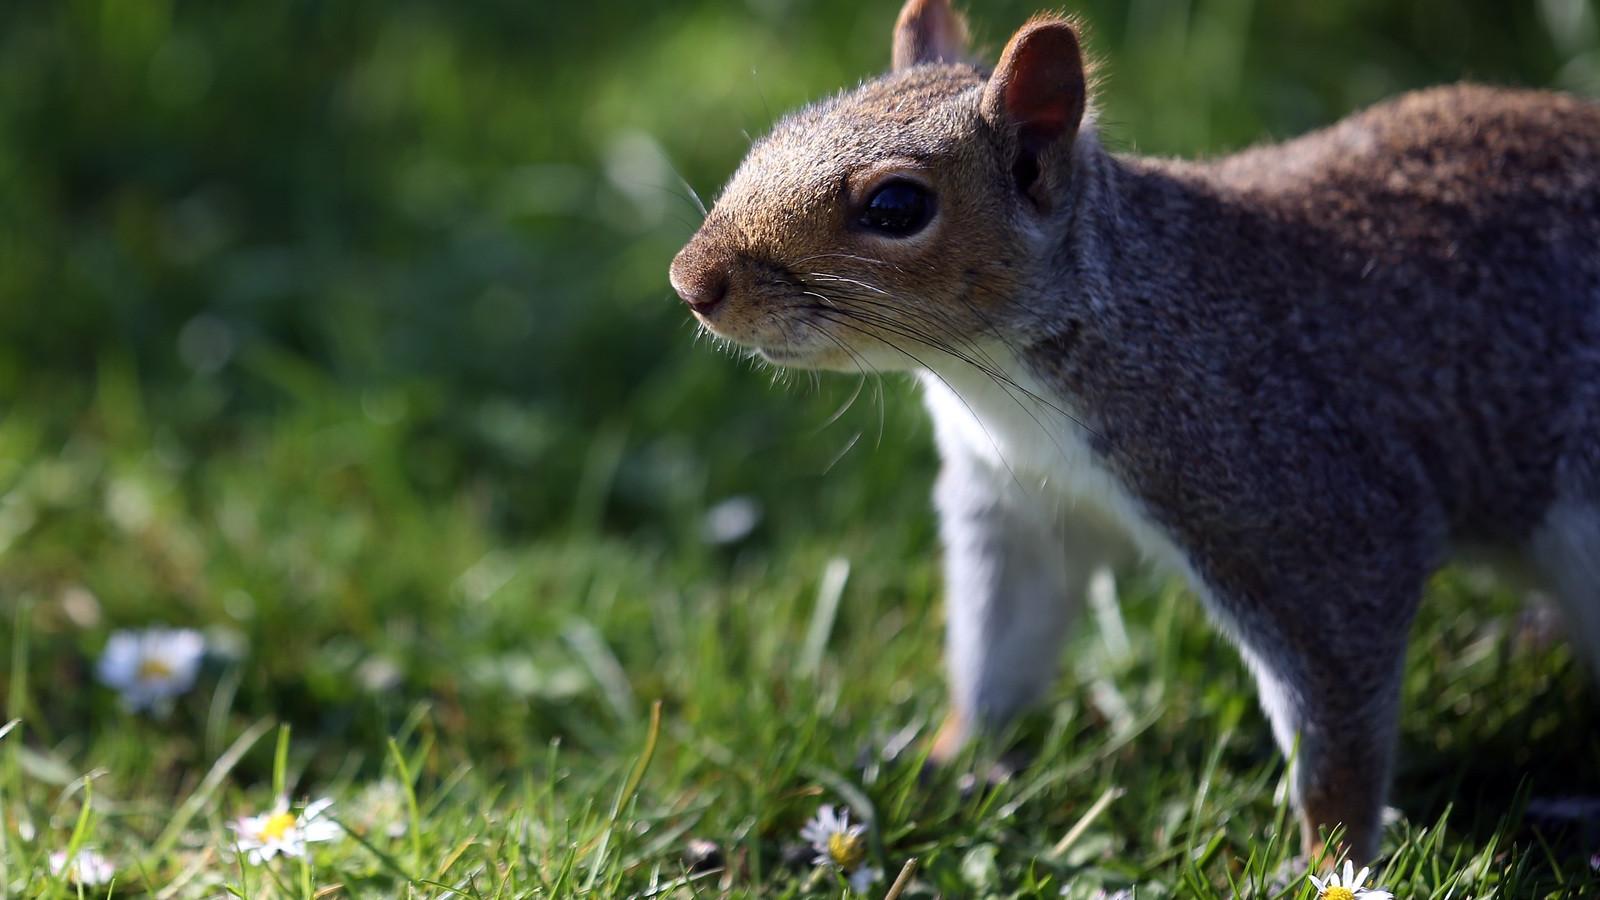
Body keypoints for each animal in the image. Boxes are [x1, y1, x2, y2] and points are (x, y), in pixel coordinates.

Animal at [665, 0, 1600, 864]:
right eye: (779, 132)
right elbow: (1001, 645)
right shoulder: (1023, 509)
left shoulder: (1305, 502)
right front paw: (947, 758)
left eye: (897, 206)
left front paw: (1326, 860)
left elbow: (1336, 702)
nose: (690, 281)